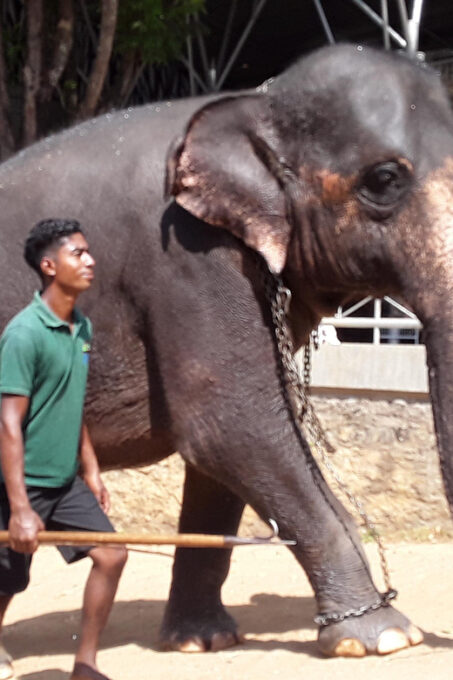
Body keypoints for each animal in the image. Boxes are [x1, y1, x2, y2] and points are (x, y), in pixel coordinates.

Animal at [0, 43, 453, 658]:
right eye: (384, 180)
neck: (254, 101)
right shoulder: (183, 256)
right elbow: (233, 424)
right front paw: (383, 637)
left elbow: (221, 455)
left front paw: (201, 640)